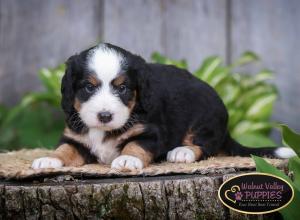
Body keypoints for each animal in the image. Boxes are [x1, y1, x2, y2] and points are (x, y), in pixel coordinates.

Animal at [31, 43, 296, 170]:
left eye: (123, 88)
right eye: (88, 87)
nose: (105, 115)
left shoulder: (151, 133)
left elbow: (135, 145)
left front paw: (127, 160)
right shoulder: (75, 138)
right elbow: (64, 150)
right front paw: (49, 160)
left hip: (205, 117)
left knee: (205, 147)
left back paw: (182, 152)